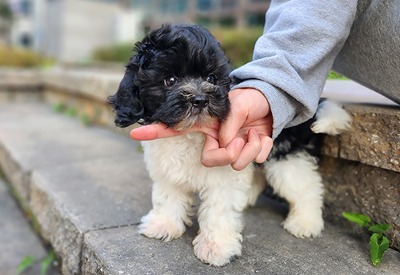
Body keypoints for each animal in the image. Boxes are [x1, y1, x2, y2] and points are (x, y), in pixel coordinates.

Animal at [108, 24, 352, 268]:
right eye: (170, 80)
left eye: (211, 77)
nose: (199, 100)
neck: (189, 134)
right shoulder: (168, 169)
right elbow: (167, 196)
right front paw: (163, 224)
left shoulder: (223, 175)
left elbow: (218, 210)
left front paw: (216, 247)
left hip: (285, 153)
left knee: (304, 185)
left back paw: (305, 221)